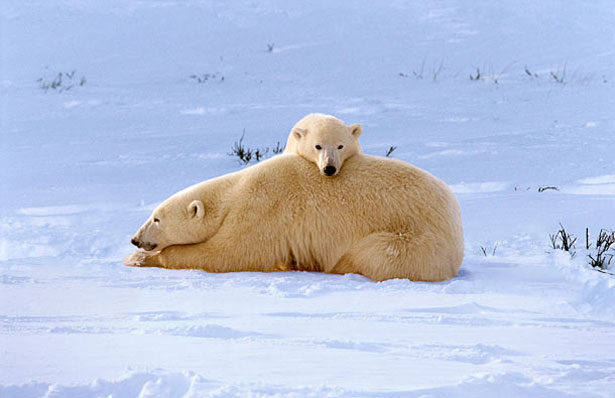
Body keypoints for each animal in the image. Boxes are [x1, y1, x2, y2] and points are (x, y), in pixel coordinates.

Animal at [125, 152, 464, 280]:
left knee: (374, 254)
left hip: (412, 237)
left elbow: (230, 253)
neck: (234, 193)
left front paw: (141, 260)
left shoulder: (263, 207)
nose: (135, 239)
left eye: (156, 218)